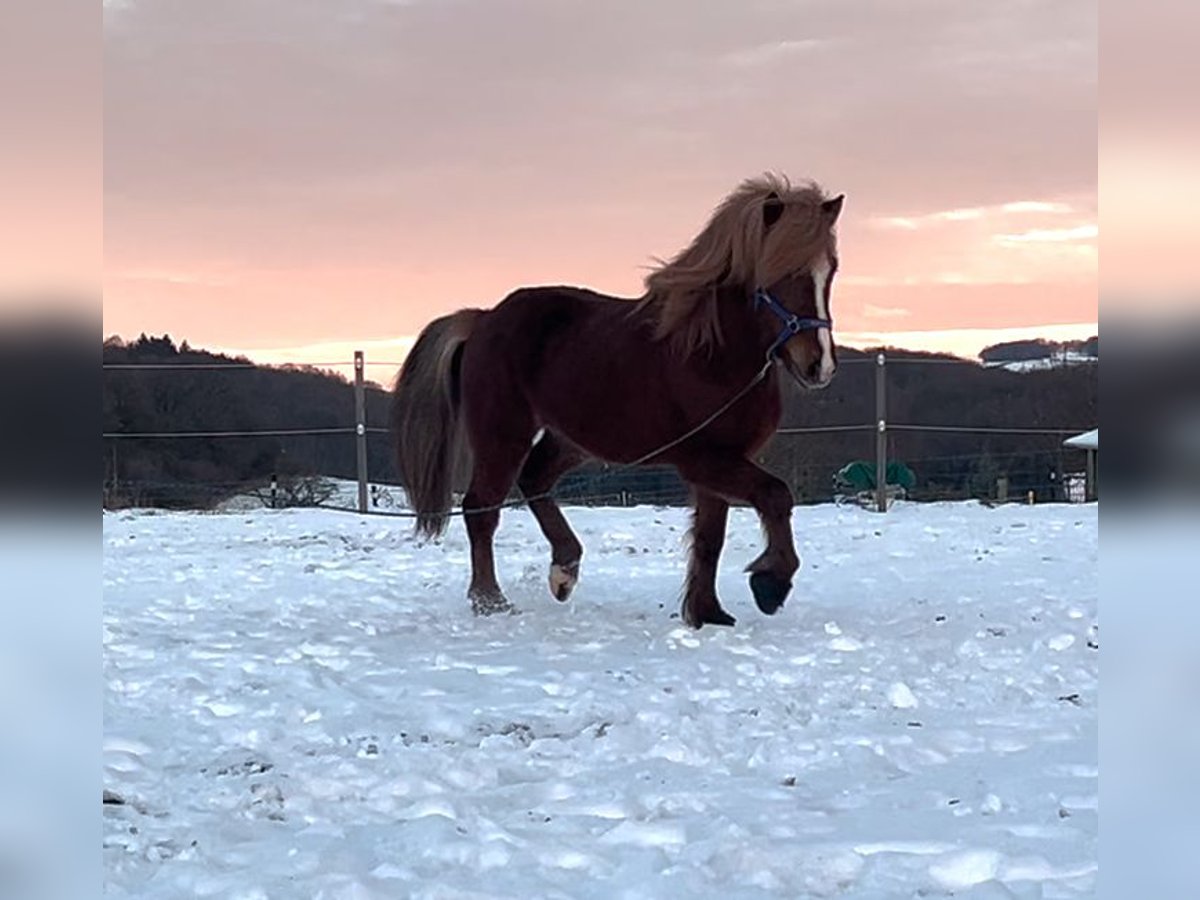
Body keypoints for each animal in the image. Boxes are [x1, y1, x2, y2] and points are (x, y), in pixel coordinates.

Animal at [393, 172, 844, 628]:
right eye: (782, 271)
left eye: (831, 271)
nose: (819, 366)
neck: (712, 356)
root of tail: (484, 318)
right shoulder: (703, 458)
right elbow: (775, 495)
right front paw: (770, 584)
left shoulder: (723, 461)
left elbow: (710, 537)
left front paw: (707, 612)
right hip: (503, 435)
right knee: (481, 508)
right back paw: (490, 600)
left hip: (569, 439)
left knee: (534, 481)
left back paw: (564, 570)